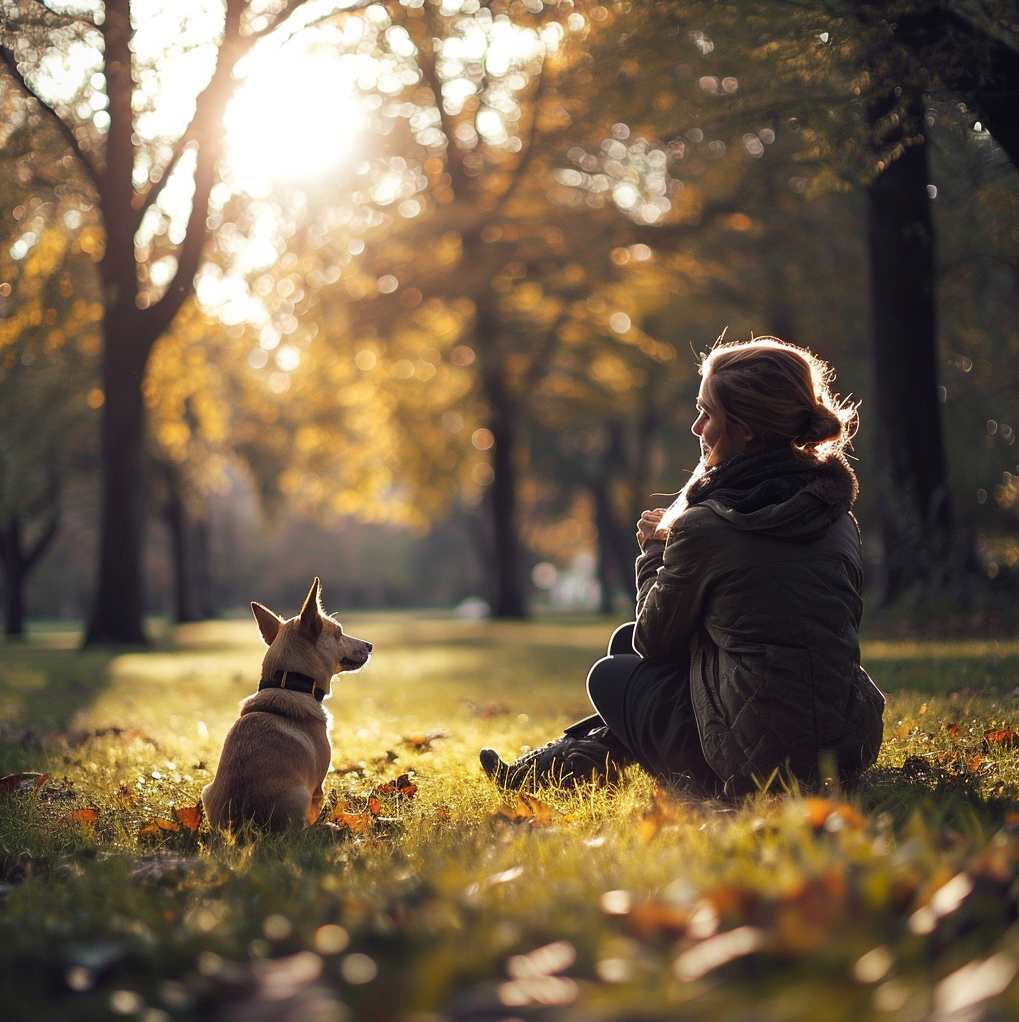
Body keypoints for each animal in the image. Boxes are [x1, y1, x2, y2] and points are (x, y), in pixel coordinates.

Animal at [200, 580, 372, 833]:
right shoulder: (317, 788)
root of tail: (244, 827)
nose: (370, 645)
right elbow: (316, 808)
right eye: (339, 634)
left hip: (206, 791)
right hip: (301, 795)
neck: (289, 684)